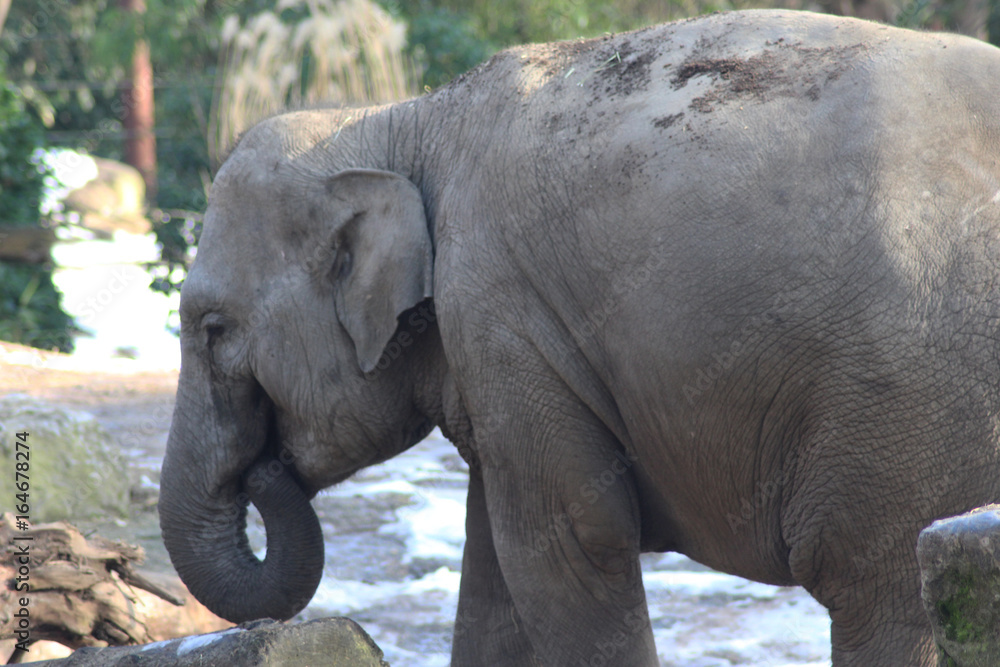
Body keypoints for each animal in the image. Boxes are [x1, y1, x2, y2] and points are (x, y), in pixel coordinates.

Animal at [158, 9, 1000, 666]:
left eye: (212, 328)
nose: (263, 471)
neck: (401, 119)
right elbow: (493, 569)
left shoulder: (501, 310)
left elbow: (568, 543)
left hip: (906, 409)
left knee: (877, 587)